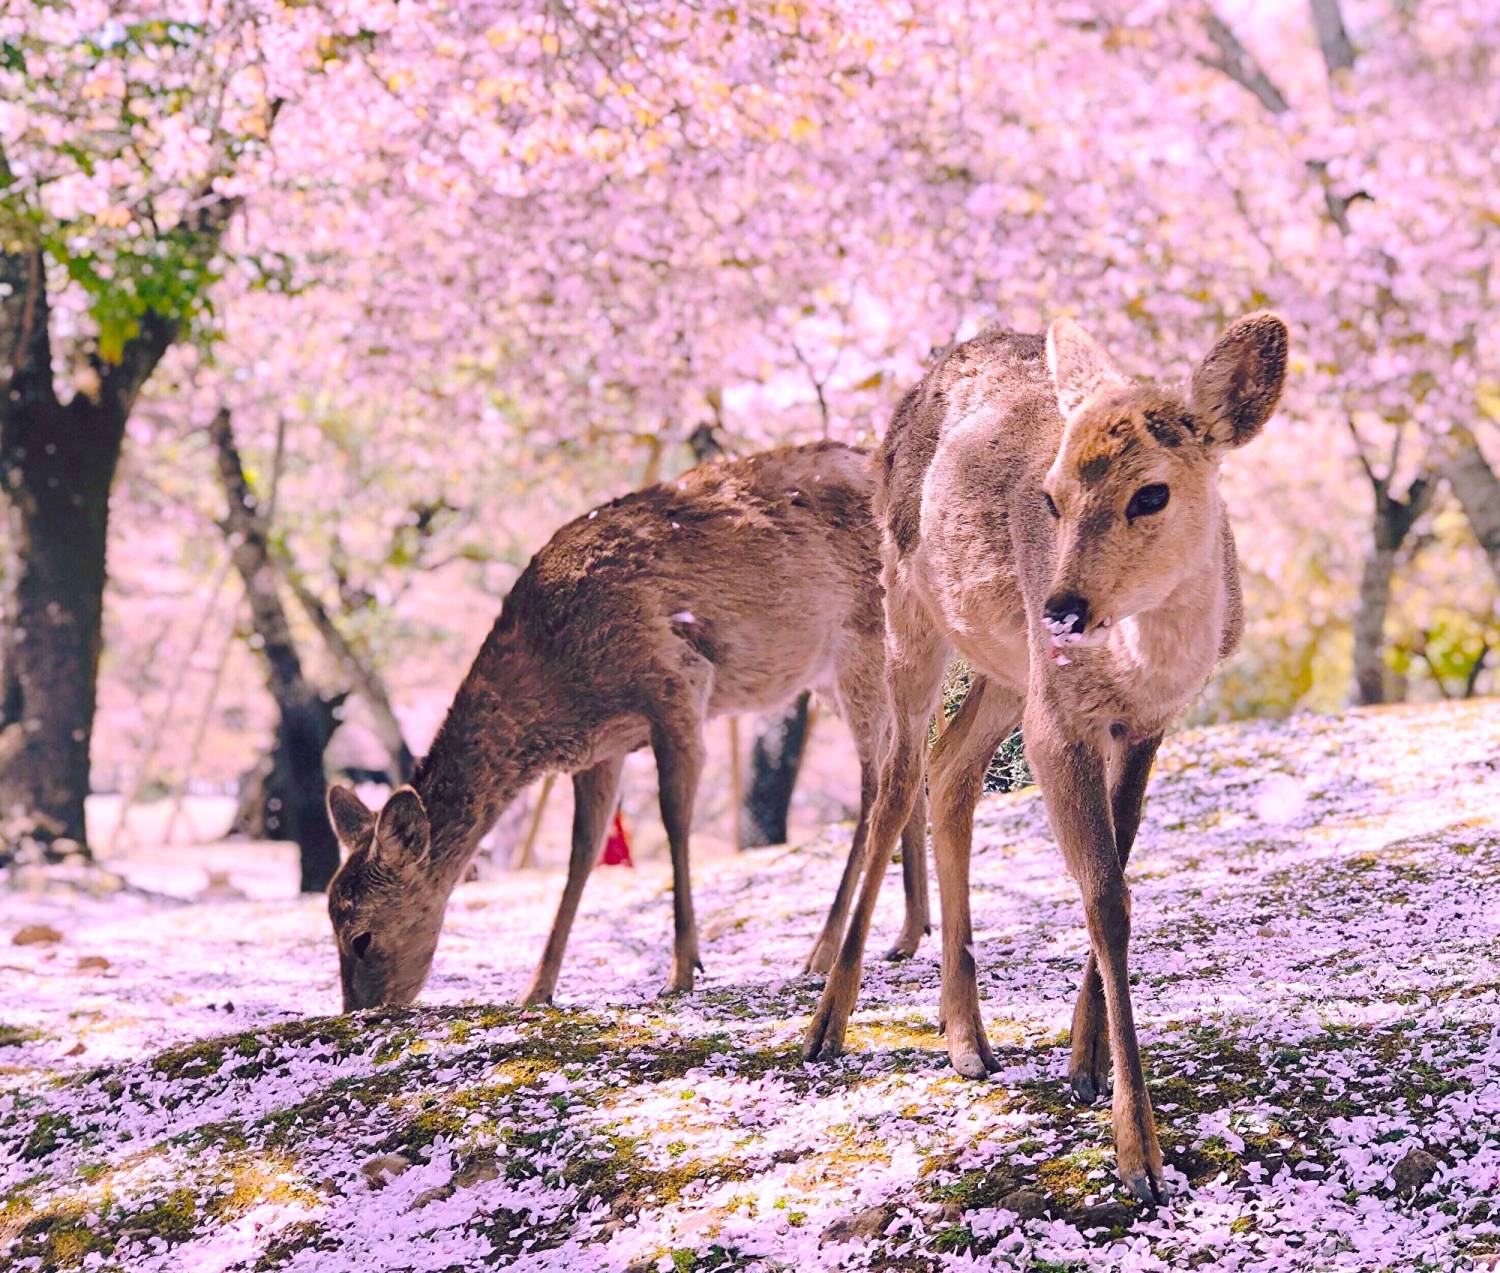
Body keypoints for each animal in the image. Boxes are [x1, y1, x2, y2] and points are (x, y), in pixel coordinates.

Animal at [325, 443, 924, 1013]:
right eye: (330, 922)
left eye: (361, 937)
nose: (359, 1010)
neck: (559, 683)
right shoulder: (601, 749)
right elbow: (582, 851)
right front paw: (535, 988)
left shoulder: (678, 680)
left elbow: (674, 818)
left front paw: (683, 969)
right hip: (837, 673)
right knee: (909, 758)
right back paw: (908, 934)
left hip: (863, 642)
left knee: (874, 781)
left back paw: (822, 950)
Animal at [810, 313, 1290, 1199]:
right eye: (1052, 495)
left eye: (1151, 492)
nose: (1064, 606)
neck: (1144, 666)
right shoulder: (1059, 722)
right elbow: (1106, 895)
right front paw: (1141, 1156)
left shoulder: (1144, 724)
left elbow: (1118, 874)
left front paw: (1085, 1061)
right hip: (909, 606)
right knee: (897, 778)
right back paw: (827, 1022)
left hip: (1006, 666)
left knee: (950, 768)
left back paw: (967, 1038)